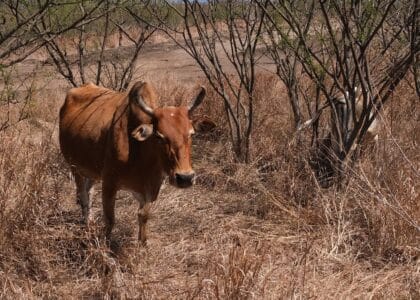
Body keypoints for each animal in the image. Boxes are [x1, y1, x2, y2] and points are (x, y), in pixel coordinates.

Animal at [60, 80, 206, 244]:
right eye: (159, 136)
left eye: (191, 134)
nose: (185, 178)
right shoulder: (109, 184)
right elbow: (110, 220)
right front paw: (105, 245)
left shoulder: (150, 188)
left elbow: (143, 216)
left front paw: (142, 244)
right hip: (74, 167)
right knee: (83, 196)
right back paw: (86, 223)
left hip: (92, 170)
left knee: (89, 192)